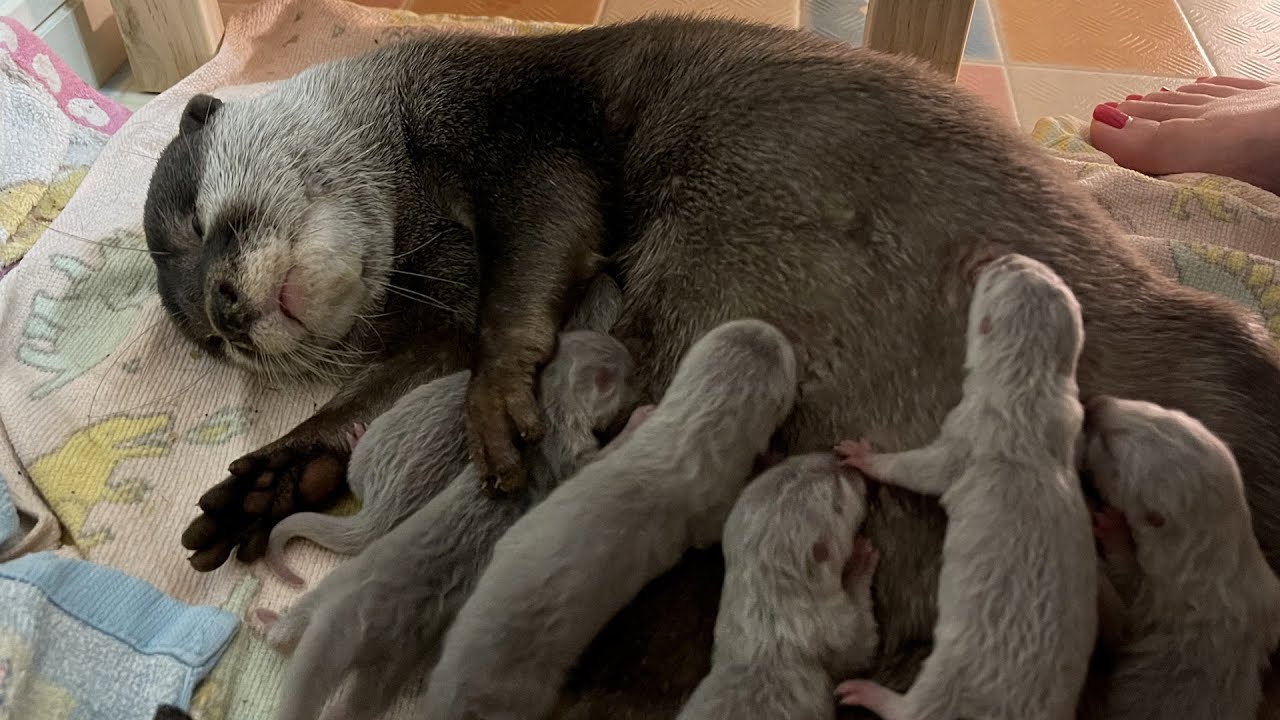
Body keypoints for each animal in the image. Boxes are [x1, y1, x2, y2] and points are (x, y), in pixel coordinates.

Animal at [143, 16, 1280, 715]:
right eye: (205, 344)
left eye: (196, 219)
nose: (225, 310)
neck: (415, 159)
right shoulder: (432, 294)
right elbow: (389, 383)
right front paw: (272, 477)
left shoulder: (521, 122)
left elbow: (543, 246)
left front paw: (502, 393)